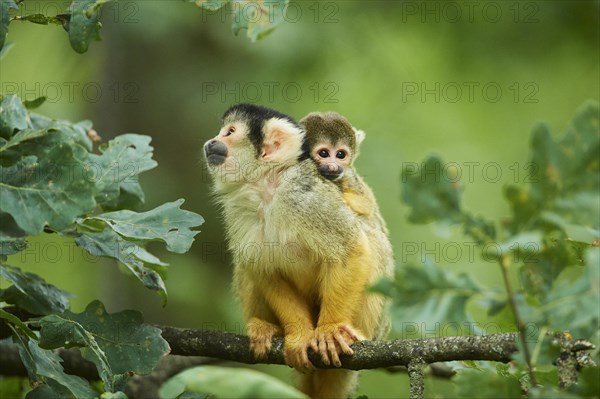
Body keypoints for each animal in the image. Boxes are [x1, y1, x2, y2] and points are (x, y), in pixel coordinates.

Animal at [204, 104, 392, 399]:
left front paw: (329, 330)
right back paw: (264, 327)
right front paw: (300, 334)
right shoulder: (239, 209)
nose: (213, 141)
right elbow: (264, 269)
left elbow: (350, 249)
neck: (268, 187)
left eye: (230, 132)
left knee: (371, 238)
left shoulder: (305, 193)